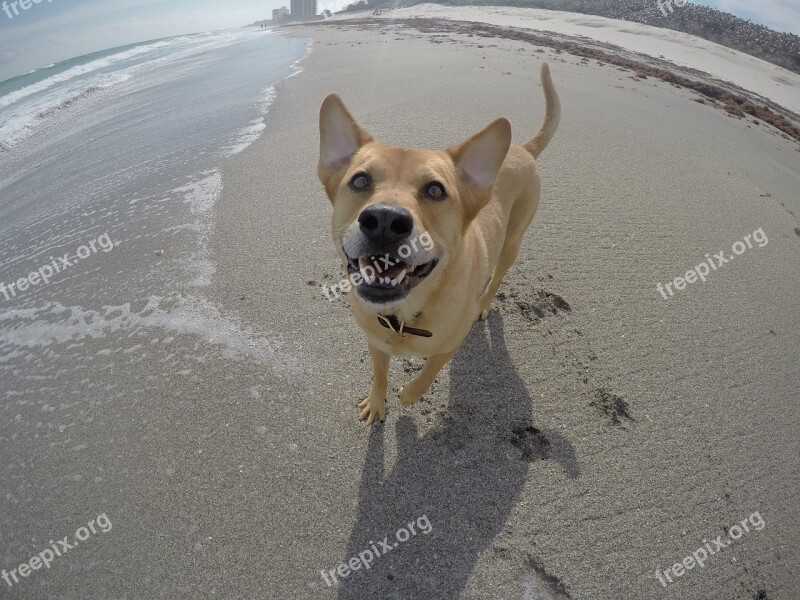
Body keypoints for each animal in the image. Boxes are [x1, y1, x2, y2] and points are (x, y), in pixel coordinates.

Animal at [316, 63, 560, 424]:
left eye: (435, 190)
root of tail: (523, 149)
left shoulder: (448, 346)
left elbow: (428, 373)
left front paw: (409, 395)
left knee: (498, 275)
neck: (404, 316)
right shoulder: (376, 343)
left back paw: (485, 302)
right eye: (359, 180)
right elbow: (380, 374)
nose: (385, 221)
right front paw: (377, 402)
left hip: (512, 242)